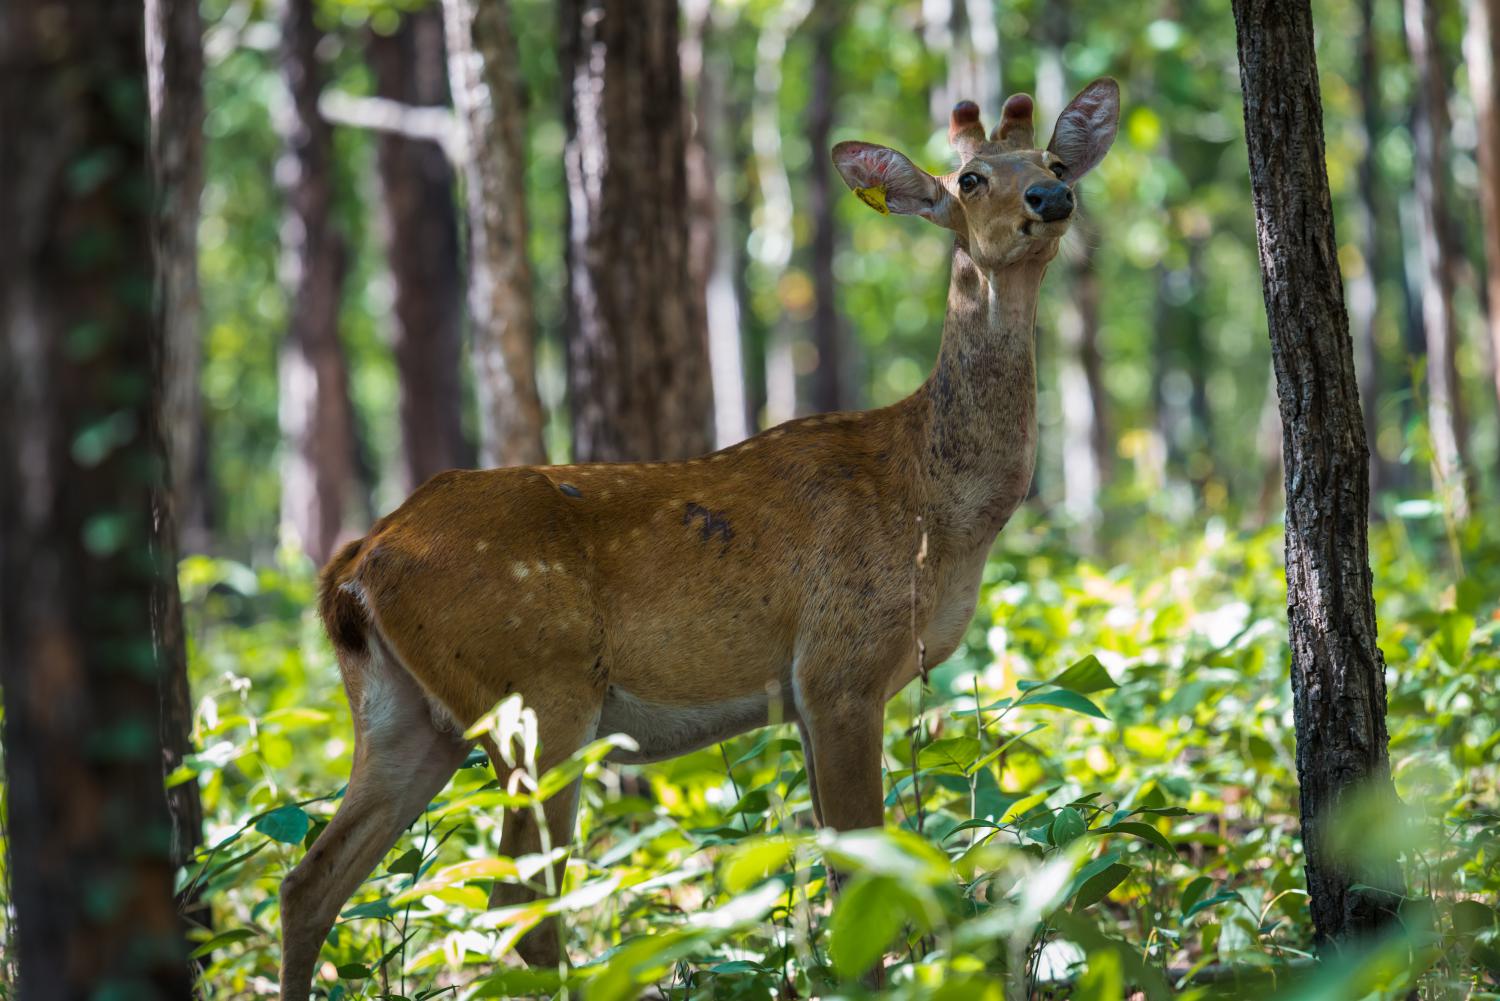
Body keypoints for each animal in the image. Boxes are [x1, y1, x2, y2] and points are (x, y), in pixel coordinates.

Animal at [279, 80, 1116, 1001]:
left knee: (309, 879)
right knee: (519, 900)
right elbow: (863, 879)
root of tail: (357, 562)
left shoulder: (811, 693)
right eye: (969, 178)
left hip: (405, 713)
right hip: (538, 693)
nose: (1050, 198)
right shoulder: (840, 667)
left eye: (1053, 158)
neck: (937, 509)